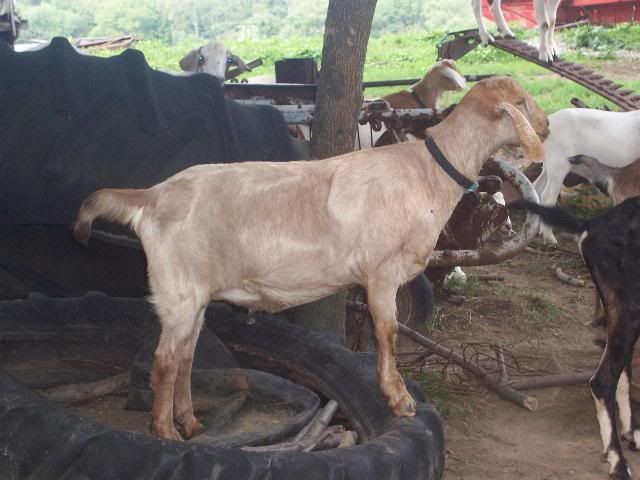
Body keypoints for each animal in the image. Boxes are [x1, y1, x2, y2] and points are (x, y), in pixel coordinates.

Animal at [73, 76, 548, 441]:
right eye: (522, 101)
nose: (545, 125)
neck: (427, 173)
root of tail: (151, 197)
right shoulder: (382, 273)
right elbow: (389, 334)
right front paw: (399, 399)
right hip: (178, 290)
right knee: (164, 361)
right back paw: (166, 433)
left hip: (194, 295)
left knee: (186, 356)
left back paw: (189, 423)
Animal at [514, 197, 640, 480]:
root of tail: (591, 226)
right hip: (629, 310)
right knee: (603, 381)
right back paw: (618, 461)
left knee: (621, 369)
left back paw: (631, 433)